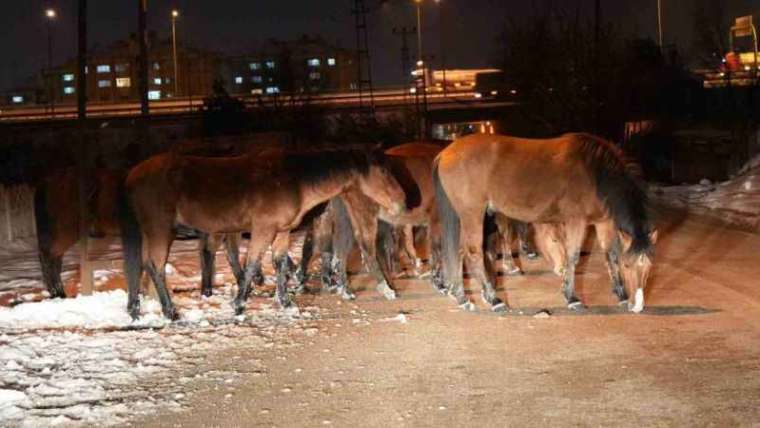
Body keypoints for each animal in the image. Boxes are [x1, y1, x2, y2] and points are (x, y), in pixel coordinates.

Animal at [123, 149, 410, 320]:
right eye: (384, 171)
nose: (402, 201)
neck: (293, 181)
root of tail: (132, 175)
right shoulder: (263, 230)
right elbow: (252, 265)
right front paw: (239, 304)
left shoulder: (281, 232)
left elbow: (279, 263)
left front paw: (285, 301)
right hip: (160, 230)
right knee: (155, 266)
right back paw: (170, 311)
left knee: (142, 266)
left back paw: (136, 308)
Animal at [436, 132, 656, 312]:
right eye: (627, 265)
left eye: (648, 268)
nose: (638, 306)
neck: (595, 172)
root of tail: (445, 154)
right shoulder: (576, 221)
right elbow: (573, 257)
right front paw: (571, 297)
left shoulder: (604, 222)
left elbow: (610, 256)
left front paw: (620, 295)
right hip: (473, 215)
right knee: (473, 253)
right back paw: (494, 300)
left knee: (458, 252)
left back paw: (462, 298)